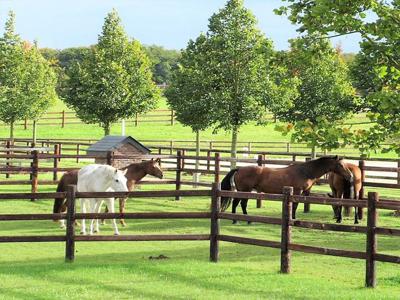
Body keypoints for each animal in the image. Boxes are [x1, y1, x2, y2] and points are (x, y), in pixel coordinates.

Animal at [220, 155, 352, 223]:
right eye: (341, 165)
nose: (350, 176)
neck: (305, 171)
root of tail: (239, 169)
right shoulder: (297, 191)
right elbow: (295, 205)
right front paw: (293, 218)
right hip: (245, 191)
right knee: (241, 203)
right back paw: (243, 220)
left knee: (237, 203)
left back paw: (237, 220)